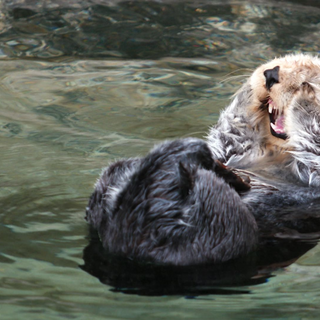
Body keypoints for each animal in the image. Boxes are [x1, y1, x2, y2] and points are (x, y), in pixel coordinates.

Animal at [85, 54, 320, 264]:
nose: (272, 74)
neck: (280, 154)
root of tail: (118, 237)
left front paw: (308, 95)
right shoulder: (235, 151)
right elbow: (233, 133)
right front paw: (250, 90)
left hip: (224, 225)